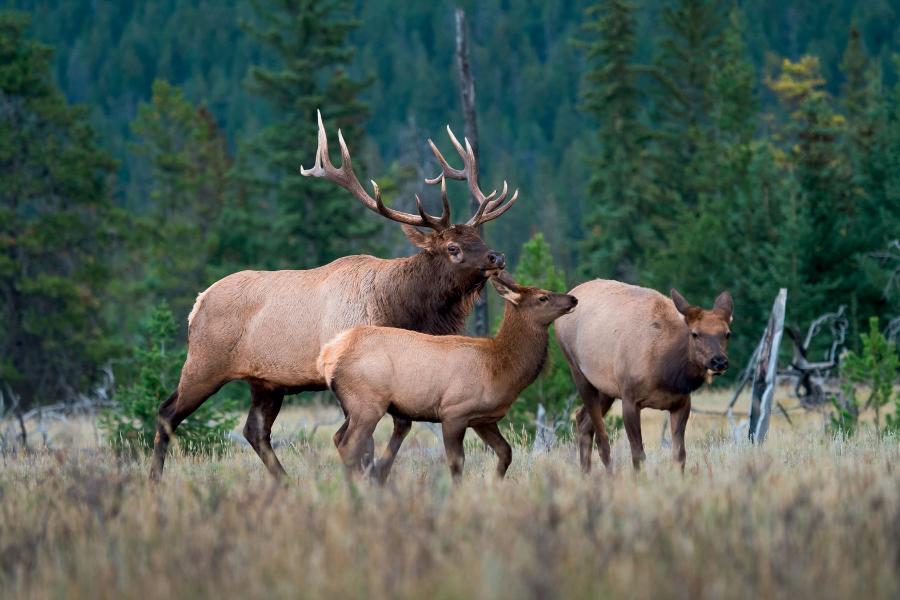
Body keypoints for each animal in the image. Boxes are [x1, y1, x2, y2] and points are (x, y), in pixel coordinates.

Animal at [149, 110, 520, 480]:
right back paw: (154, 480)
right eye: (453, 247)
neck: (401, 312)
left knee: (254, 430)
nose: (497, 257)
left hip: (266, 381)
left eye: (479, 238)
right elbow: (362, 442)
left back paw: (285, 483)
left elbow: (399, 427)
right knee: (168, 412)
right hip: (204, 364)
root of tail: (197, 304)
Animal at [320, 272, 580, 482]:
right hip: (368, 402)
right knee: (350, 445)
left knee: (338, 438)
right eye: (543, 297)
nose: (573, 299)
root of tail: (328, 355)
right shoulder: (454, 411)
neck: (500, 369)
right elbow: (457, 463)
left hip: (353, 406)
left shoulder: (483, 418)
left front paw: (495, 484)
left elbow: (506, 452)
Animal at [556, 282, 732, 474]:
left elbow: (680, 455)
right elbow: (638, 455)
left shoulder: (682, 402)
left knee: (583, 420)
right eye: (695, 333)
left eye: (727, 333)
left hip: (605, 388)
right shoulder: (630, 398)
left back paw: (586, 474)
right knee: (602, 439)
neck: (667, 375)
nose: (719, 361)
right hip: (578, 372)